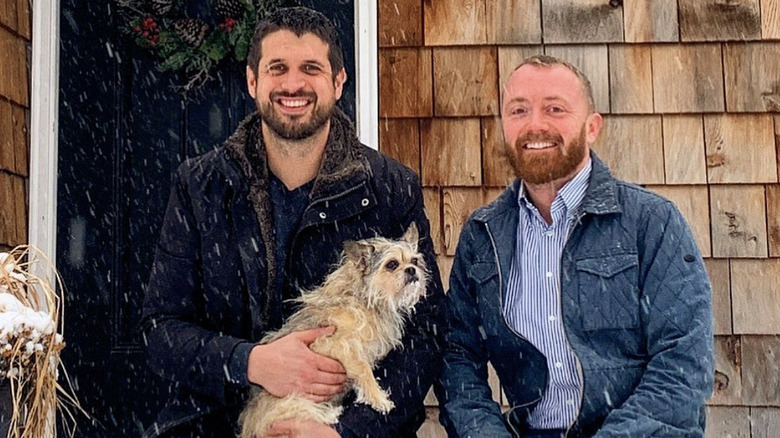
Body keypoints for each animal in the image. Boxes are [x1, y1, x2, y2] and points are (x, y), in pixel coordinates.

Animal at [241, 224, 430, 436]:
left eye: (414, 260)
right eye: (392, 264)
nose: (412, 270)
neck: (365, 299)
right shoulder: (337, 343)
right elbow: (363, 369)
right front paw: (378, 398)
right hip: (285, 406)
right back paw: (329, 414)